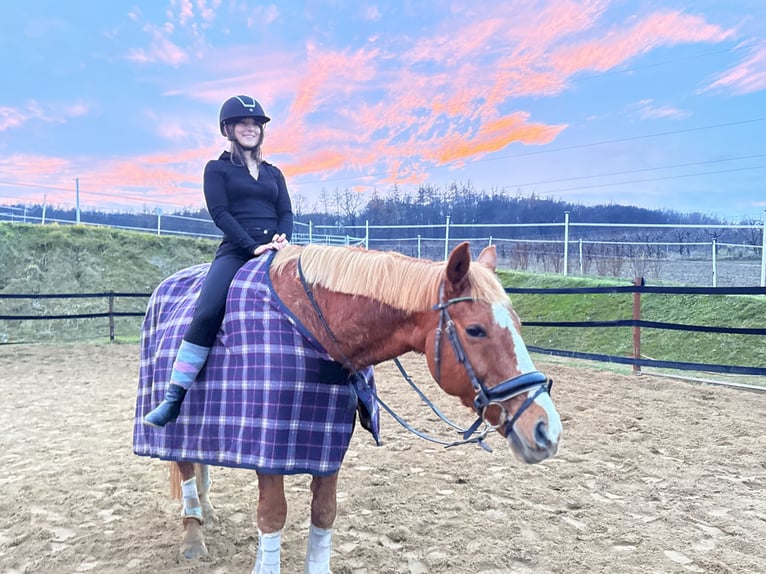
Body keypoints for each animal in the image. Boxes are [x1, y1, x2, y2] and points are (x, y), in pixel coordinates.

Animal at [133, 241, 562, 573]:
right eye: (475, 329)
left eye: (519, 324)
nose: (546, 428)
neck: (311, 329)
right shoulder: (268, 447)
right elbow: (272, 516)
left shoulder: (326, 446)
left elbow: (324, 512)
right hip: (173, 422)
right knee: (185, 466)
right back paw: (193, 534)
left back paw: (207, 511)